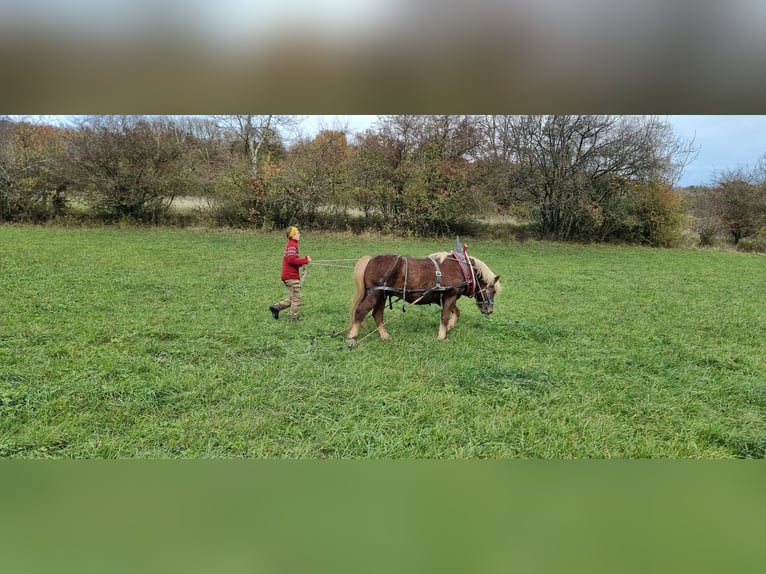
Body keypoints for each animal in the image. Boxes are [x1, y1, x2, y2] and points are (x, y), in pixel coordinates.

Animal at [347, 251, 501, 345]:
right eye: (493, 290)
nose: (489, 311)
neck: (462, 268)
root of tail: (371, 260)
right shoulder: (450, 295)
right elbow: (445, 316)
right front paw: (442, 336)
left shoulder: (443, 298)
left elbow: (456, 312)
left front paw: (450, 326)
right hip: (375, 294)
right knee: (361, 312)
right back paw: (352, 338)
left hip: (382, 295)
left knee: (377, 314)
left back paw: (385, 336)